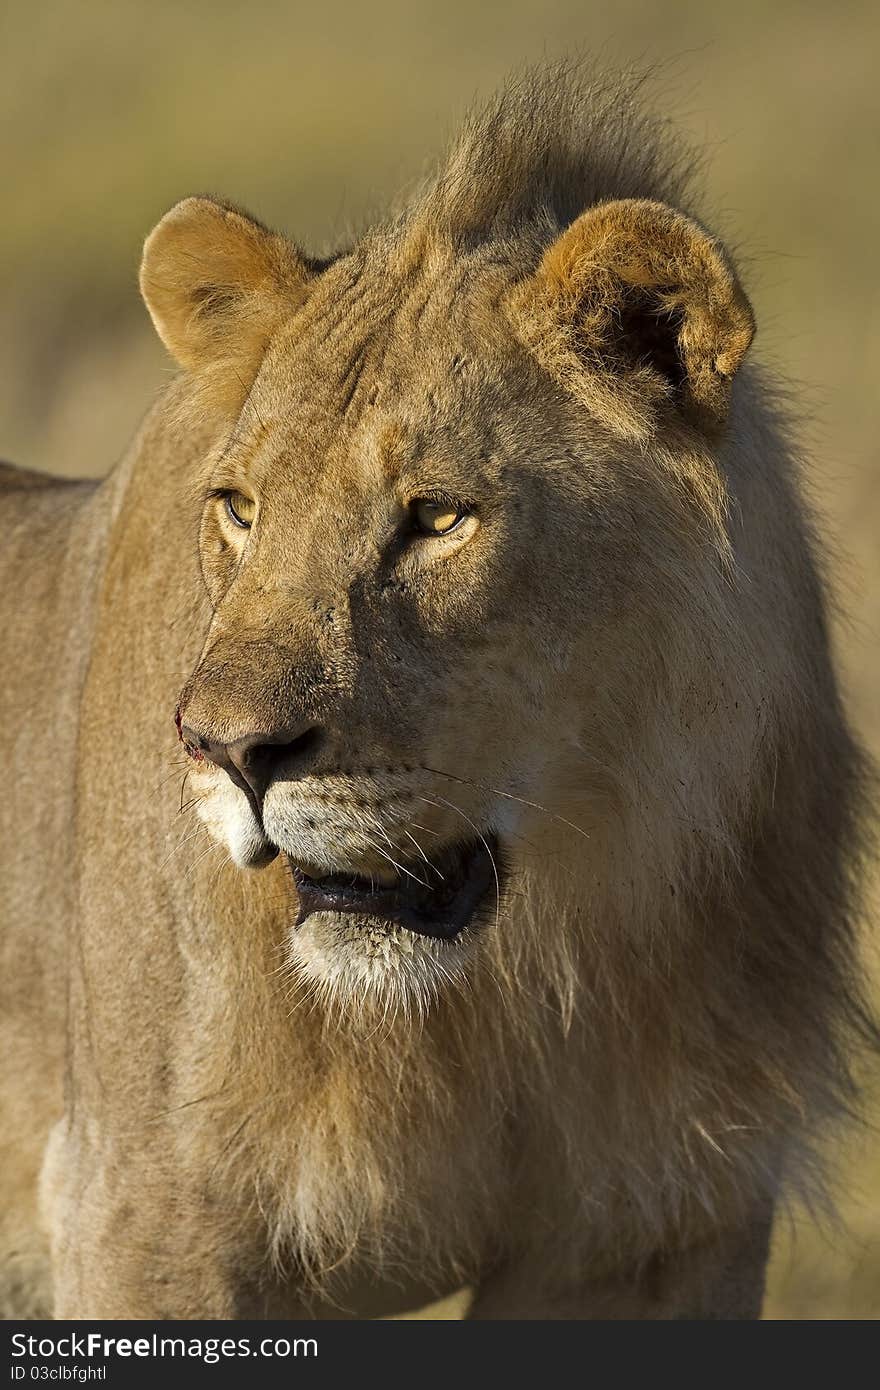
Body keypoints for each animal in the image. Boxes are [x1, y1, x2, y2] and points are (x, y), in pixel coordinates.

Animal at [0, 65, 873, 1317]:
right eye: (240, 507)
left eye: (438, 518)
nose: (223, 751)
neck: (511, 984)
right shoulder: (143, 1215)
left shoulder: (655, 1233)